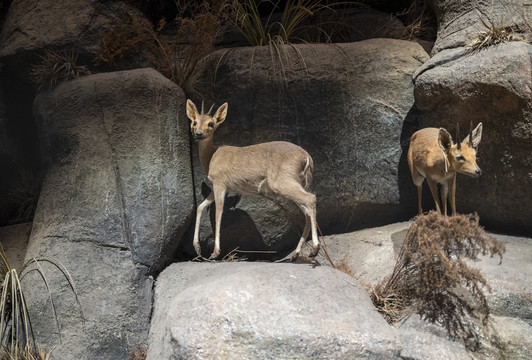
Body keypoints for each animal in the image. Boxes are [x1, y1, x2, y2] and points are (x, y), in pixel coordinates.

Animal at [187, 100, 320, 260]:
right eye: (195, 121)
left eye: (211, 123)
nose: (198, 134)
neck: (212, 157)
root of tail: (307, 157)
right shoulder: (220, 187)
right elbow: (200, 206)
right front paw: (197, 248)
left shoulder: (220, 183)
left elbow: (218, 212)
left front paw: (215, 252)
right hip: (295, 184)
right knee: (306, 211)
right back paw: (296, 253)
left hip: (282, 183)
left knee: (311, 199)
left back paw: (314, 249)